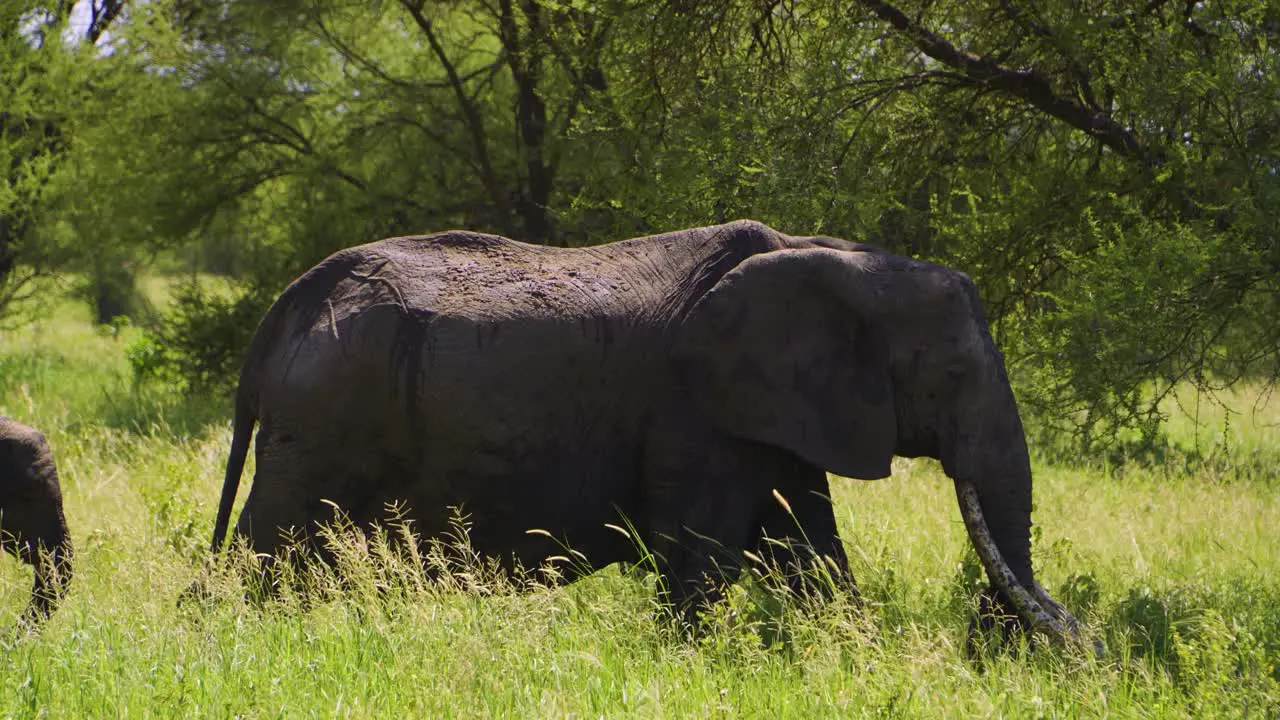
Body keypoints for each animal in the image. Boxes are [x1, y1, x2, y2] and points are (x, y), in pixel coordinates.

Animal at [209, 217, 1080, 638]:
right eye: (954, 376)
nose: (992, 625)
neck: (835, 255)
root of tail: (288, 304)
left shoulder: (773, 410)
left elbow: (810, 553)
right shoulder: (697, 410)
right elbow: (703, 560)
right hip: (325, 421)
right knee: (267, 551)